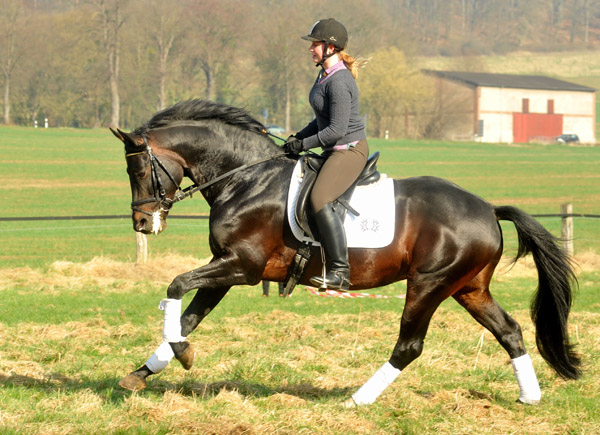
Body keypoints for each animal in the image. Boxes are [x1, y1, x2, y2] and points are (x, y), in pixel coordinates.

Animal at [110, 99, 580, 408]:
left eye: (138, 168)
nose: (142, 223)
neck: (246, 179)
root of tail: (487, 209)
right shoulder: (226, 269)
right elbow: (188, 317)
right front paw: (145, 371)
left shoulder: (240, 267)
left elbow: (176, 286)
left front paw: (180, 354)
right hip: (469, 288)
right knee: (510, 331)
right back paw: (530, 397)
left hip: (429, 284)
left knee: (409, 346)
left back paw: (357, 400)